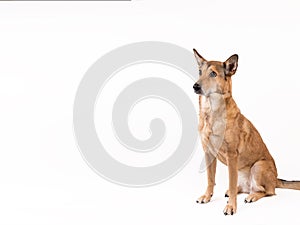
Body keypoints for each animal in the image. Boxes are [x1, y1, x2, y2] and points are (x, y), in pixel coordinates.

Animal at [192, 48, 300, 214]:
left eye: (213, 74)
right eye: (199, 72)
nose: (195, 86)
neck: (211, 111)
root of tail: (276, 179)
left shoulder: (231, 156)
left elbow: (230, 182)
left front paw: (231, 207)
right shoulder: (209, 153)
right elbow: (210, 179)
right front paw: (207, 196)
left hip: (258, 166)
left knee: (267, 191)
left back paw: (252, 196)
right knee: (243, 187)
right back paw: (237, 191)